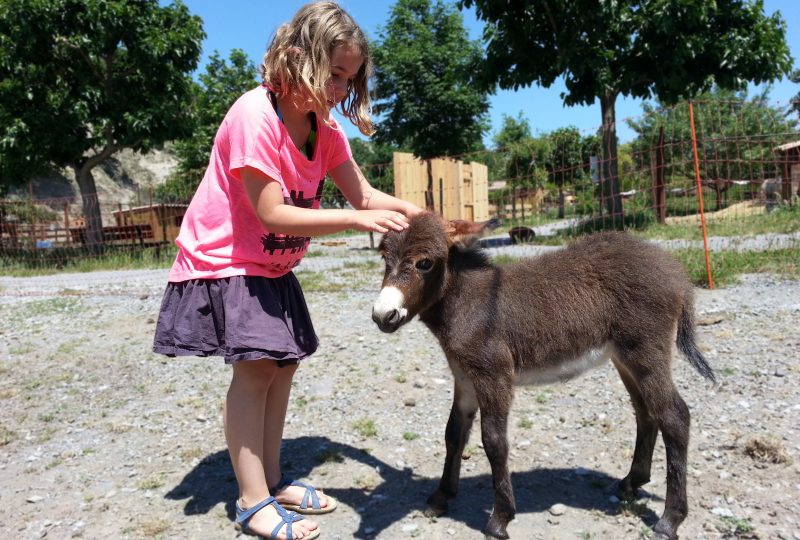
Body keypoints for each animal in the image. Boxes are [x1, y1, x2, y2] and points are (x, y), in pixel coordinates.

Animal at [372, 213, 716, 536]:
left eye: (425, 263)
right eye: (384, 259)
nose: (382, 316)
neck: (467, 303)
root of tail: (675, 271)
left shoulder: (493, 377)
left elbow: (493, 441)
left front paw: (500, 519)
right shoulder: (465, 379)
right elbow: (453, 435)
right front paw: (441, 497)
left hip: (646, 352)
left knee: (674, 416)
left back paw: (670, 519)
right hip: (625, 359)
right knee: (646, 413)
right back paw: (631, 482)